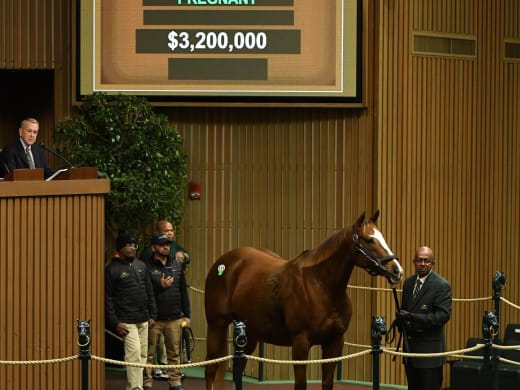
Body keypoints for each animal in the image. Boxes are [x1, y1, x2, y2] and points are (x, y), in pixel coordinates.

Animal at [203, 212, 402, 390]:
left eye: (382, 237)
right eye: (369, 240)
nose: (397, 271)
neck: (320, 287)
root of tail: (223, 263)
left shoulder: (334, 343)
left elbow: (327, 383)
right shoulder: (300, 343)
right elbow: (300, 385)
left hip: (249, 333)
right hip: (216, 326)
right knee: (210, 370)